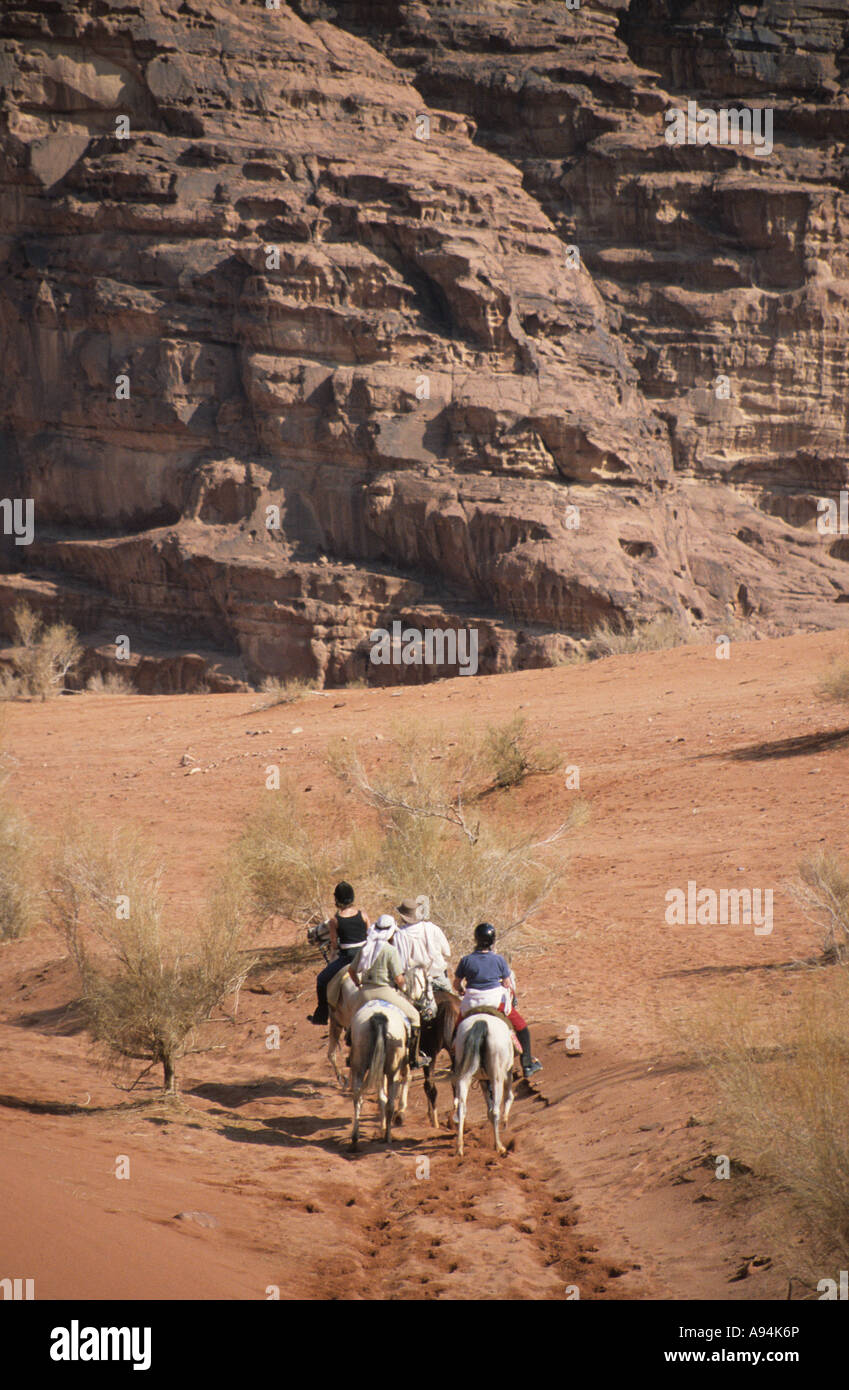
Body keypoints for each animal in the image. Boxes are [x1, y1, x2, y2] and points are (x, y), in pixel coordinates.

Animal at [347, 1006, 411, 1145]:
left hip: (359, 1066)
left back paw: (355, 1136)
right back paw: (388, 1137)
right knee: (390, 1104)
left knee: (357, 1097)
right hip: (393, 1070)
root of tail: (379, 1018)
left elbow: (381, 1096)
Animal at [455, 1011, 514, 1162]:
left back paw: (460, 1149)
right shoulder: (506, 1073)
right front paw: (505, 1121)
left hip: (465, 1075)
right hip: (497, 1076)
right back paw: (499, 1146)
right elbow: (508, 1097)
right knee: (495, 1111)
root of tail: (481, 1021)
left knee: (462, 1109)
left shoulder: (482, 1080)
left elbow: (488, 1109)